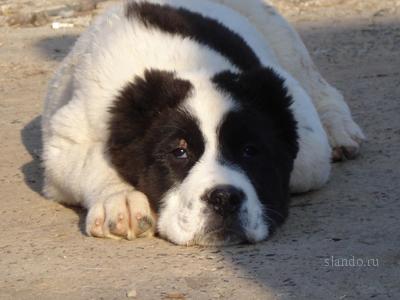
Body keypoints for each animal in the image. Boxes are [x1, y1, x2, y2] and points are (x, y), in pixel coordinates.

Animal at [42, 0, 364, 246]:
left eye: (250, 151)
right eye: (179, 152)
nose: (224, 198)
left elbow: (306, 156)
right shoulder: (66, 138)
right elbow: (93, 161)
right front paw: (121, 200)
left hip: (277, 32)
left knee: (318, 85)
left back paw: (340, 130)